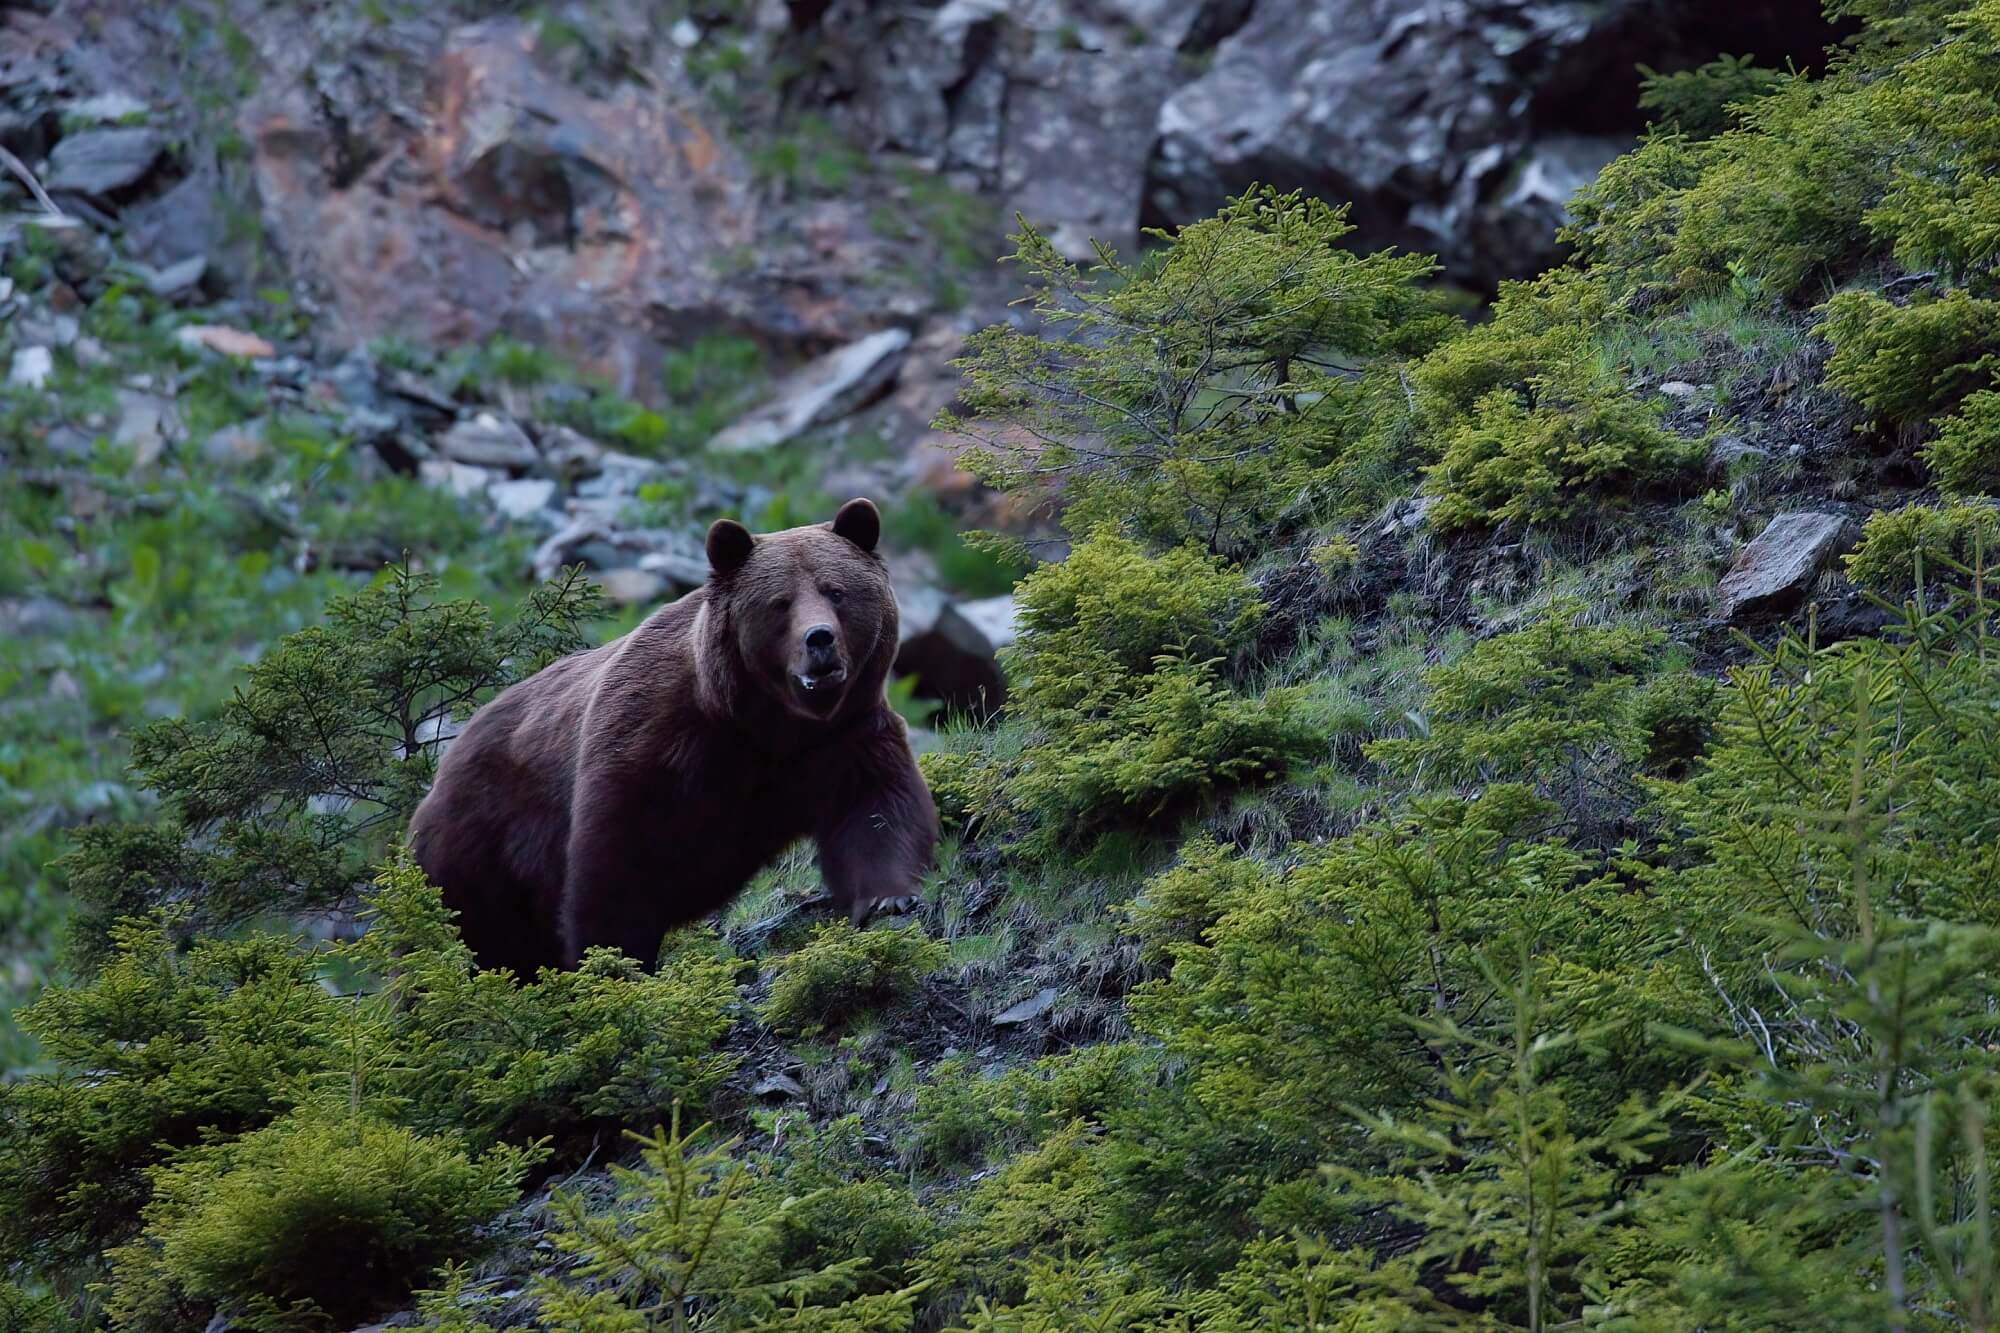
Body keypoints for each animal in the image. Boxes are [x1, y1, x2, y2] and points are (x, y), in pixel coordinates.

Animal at [410, 492, 940, 972]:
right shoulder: (652, 745)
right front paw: (616, 962)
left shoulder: (841, 738)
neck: (766, 725)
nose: (820, 640)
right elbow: (615, 865)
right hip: (479, 841)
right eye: (781, 603)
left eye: (836, 591)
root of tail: (445, 761)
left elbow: (875, 809)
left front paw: (887, 899)